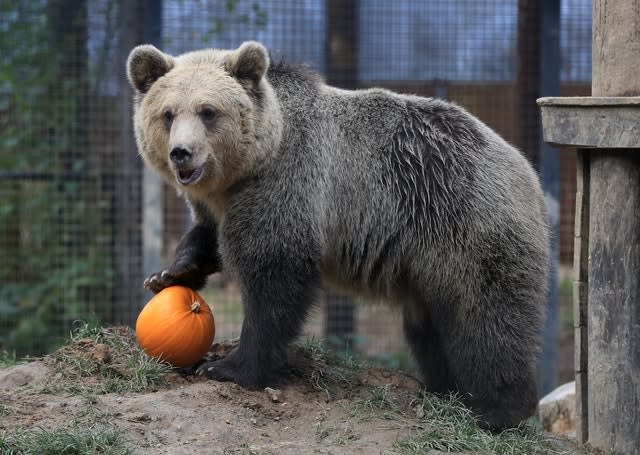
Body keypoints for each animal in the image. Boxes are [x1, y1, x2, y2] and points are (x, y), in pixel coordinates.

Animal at [126, 40, 552, 432]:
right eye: (167, 114)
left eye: (208, 111)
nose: (182, 153)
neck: (246, 169)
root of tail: (528, 173)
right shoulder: (218, 205)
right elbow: (205, 238)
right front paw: (168, 274)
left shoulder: (287, 184)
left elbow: (275, 278)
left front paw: (228, 366)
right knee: (430, 328)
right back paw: (445, 388)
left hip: (466, 225)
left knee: (485, 320)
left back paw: (496, 411)